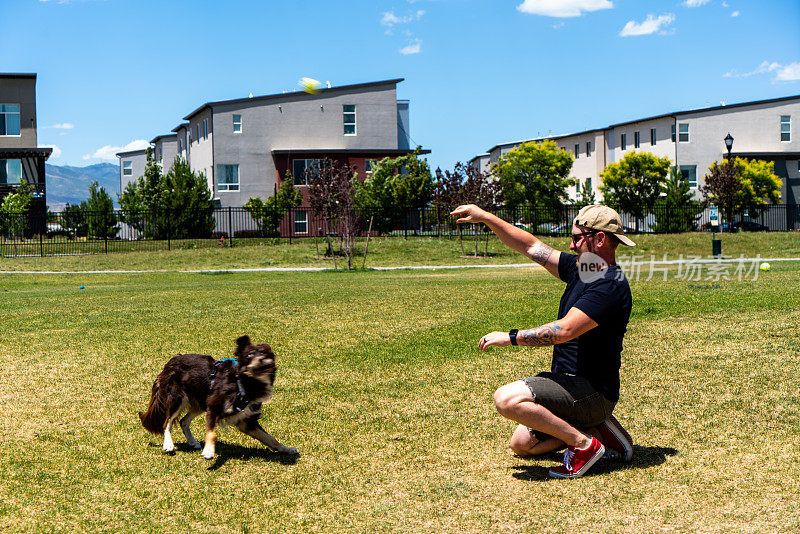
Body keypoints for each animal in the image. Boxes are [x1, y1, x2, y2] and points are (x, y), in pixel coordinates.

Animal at [139, 340, 298, 460]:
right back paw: (168, 444)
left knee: (183, 421)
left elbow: (271, 439)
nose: (263, 360)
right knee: (167, 422)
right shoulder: (214, 407)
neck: (244, 383)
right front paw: (209, 451)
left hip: (199, 402)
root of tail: (169, 363)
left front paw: (286, 449)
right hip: (177, 398)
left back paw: (192, 442)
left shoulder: (246, 421)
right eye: (250, 354)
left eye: (265, 353)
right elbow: (212, 432)